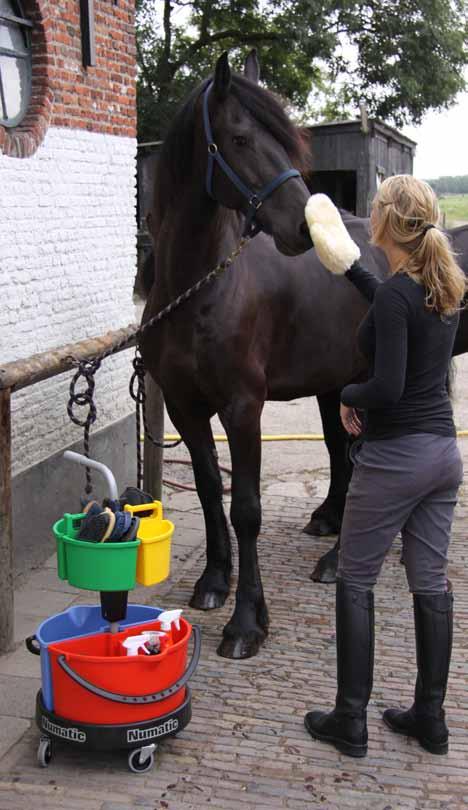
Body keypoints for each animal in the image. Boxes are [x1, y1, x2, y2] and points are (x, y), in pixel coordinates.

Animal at [141, 50, 468, 656]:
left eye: (286, 140)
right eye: (240, 138)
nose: (302, 224)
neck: (201, 287)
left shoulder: (243, 407)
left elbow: (247, 509)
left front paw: (248, 621)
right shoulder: (184, 405)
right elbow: (208, 489)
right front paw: (214, 581)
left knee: (366, 470)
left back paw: (337, 561)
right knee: (350, 460)